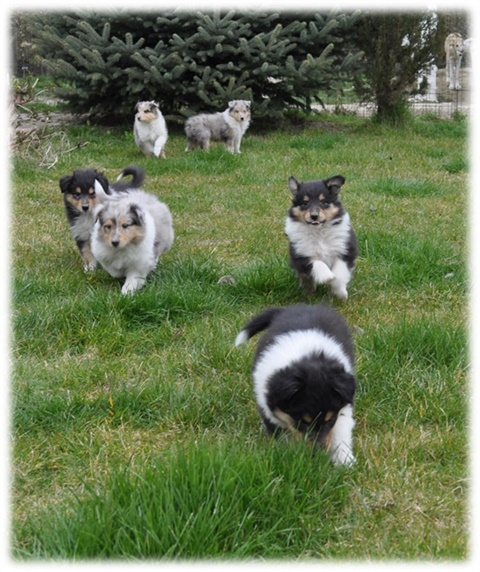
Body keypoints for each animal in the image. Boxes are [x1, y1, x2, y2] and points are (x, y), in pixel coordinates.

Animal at [235, 303, 357, 466]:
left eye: (329, 420)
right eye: (303, 422)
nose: (316, 455)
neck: (306, 357)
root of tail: (289, 308)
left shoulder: (343, 407)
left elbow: (341, 430)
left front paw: (344, 461)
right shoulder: (267, 408)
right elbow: (281, 436)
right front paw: (287, 456)